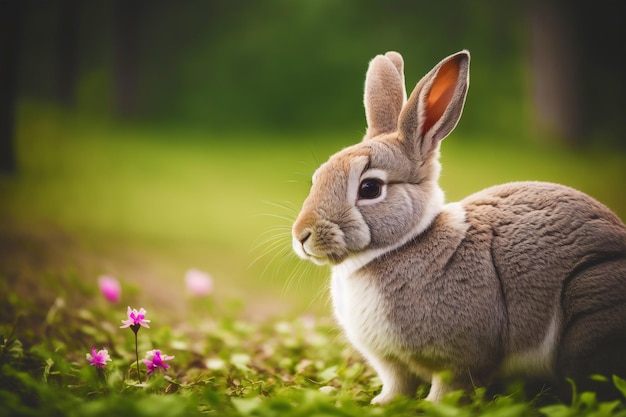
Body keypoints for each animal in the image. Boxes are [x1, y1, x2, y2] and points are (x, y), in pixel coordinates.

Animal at [292, 49, 624, 404]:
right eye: (319, 176)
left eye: (369, 188)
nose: (302, 236)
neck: (401, 245)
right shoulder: (391, 363)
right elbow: (397, 383)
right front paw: (382, 403)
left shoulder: (461, 358)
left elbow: (451, 386)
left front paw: (432, 406)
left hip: (589, 306)